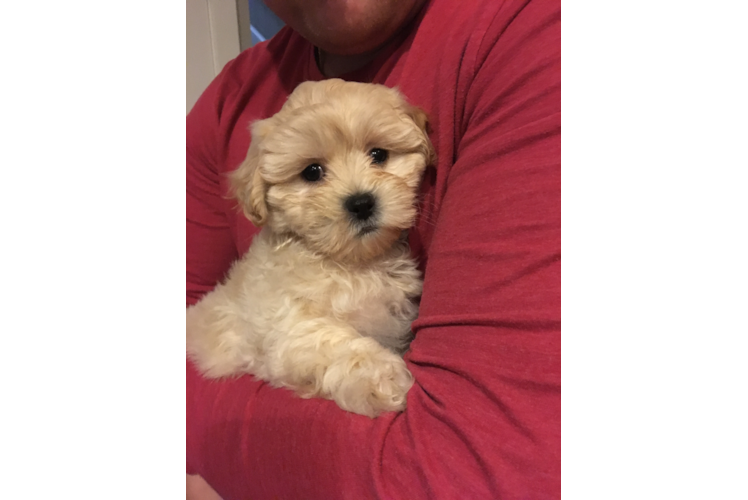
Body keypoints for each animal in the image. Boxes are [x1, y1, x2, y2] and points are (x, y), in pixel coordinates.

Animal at [184, 79, 436, 418]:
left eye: (379, 154)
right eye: (312, 172)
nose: (361, 203)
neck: (353, 264)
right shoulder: (287, 327)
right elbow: (330, 341)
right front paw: (381, 377)